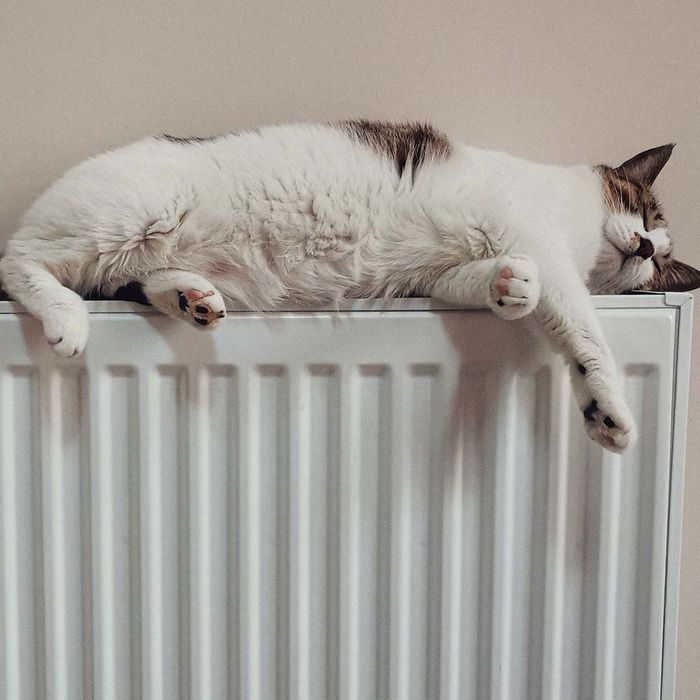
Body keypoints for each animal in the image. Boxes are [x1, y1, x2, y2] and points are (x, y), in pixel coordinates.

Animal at [1, 120, 700, 452]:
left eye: (661, 266)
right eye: (644, 212)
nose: (645, 247)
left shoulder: (442, 275)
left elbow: (486, 283)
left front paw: (509, 287)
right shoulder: (544, 246)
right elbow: (585, 331)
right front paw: (608, 411)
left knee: (141, 281)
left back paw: (192, 299)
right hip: (130, 217)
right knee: (17, 261)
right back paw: (65, 318)